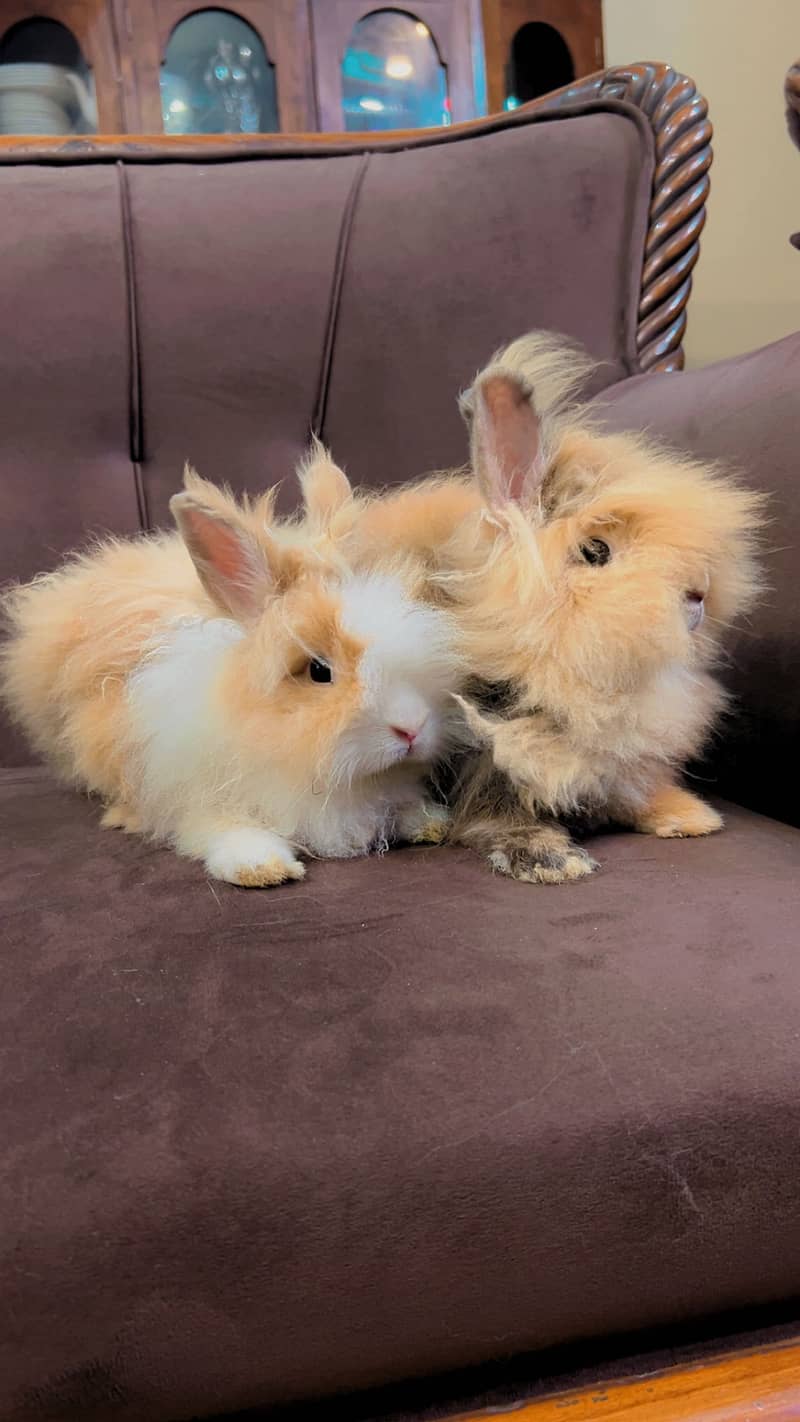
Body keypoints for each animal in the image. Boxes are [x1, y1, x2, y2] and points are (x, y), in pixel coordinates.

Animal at [1, 467, 463, 887]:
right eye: (318, 671)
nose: (412, 728)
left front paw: (430, 821)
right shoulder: (196, 797)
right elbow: (225, 829)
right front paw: (261, 868)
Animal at [298, 333, 765, 883]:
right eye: (595, 551)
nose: (699, 596)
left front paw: (688, 817)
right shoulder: (487, 754)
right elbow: (501, 810)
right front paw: (551, 860)